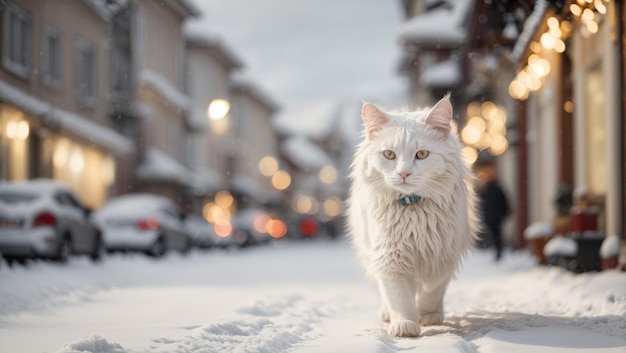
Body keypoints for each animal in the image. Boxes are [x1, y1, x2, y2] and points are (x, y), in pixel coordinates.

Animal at [346, 93, 478, 336]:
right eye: (389, 155)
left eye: (422, 154)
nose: (404, 173)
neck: (413, 209)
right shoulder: (390, 258)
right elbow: (400, 299)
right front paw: (405, 326)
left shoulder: (443, 255)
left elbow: (431, 292)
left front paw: (427, 317)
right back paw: (387, 315)